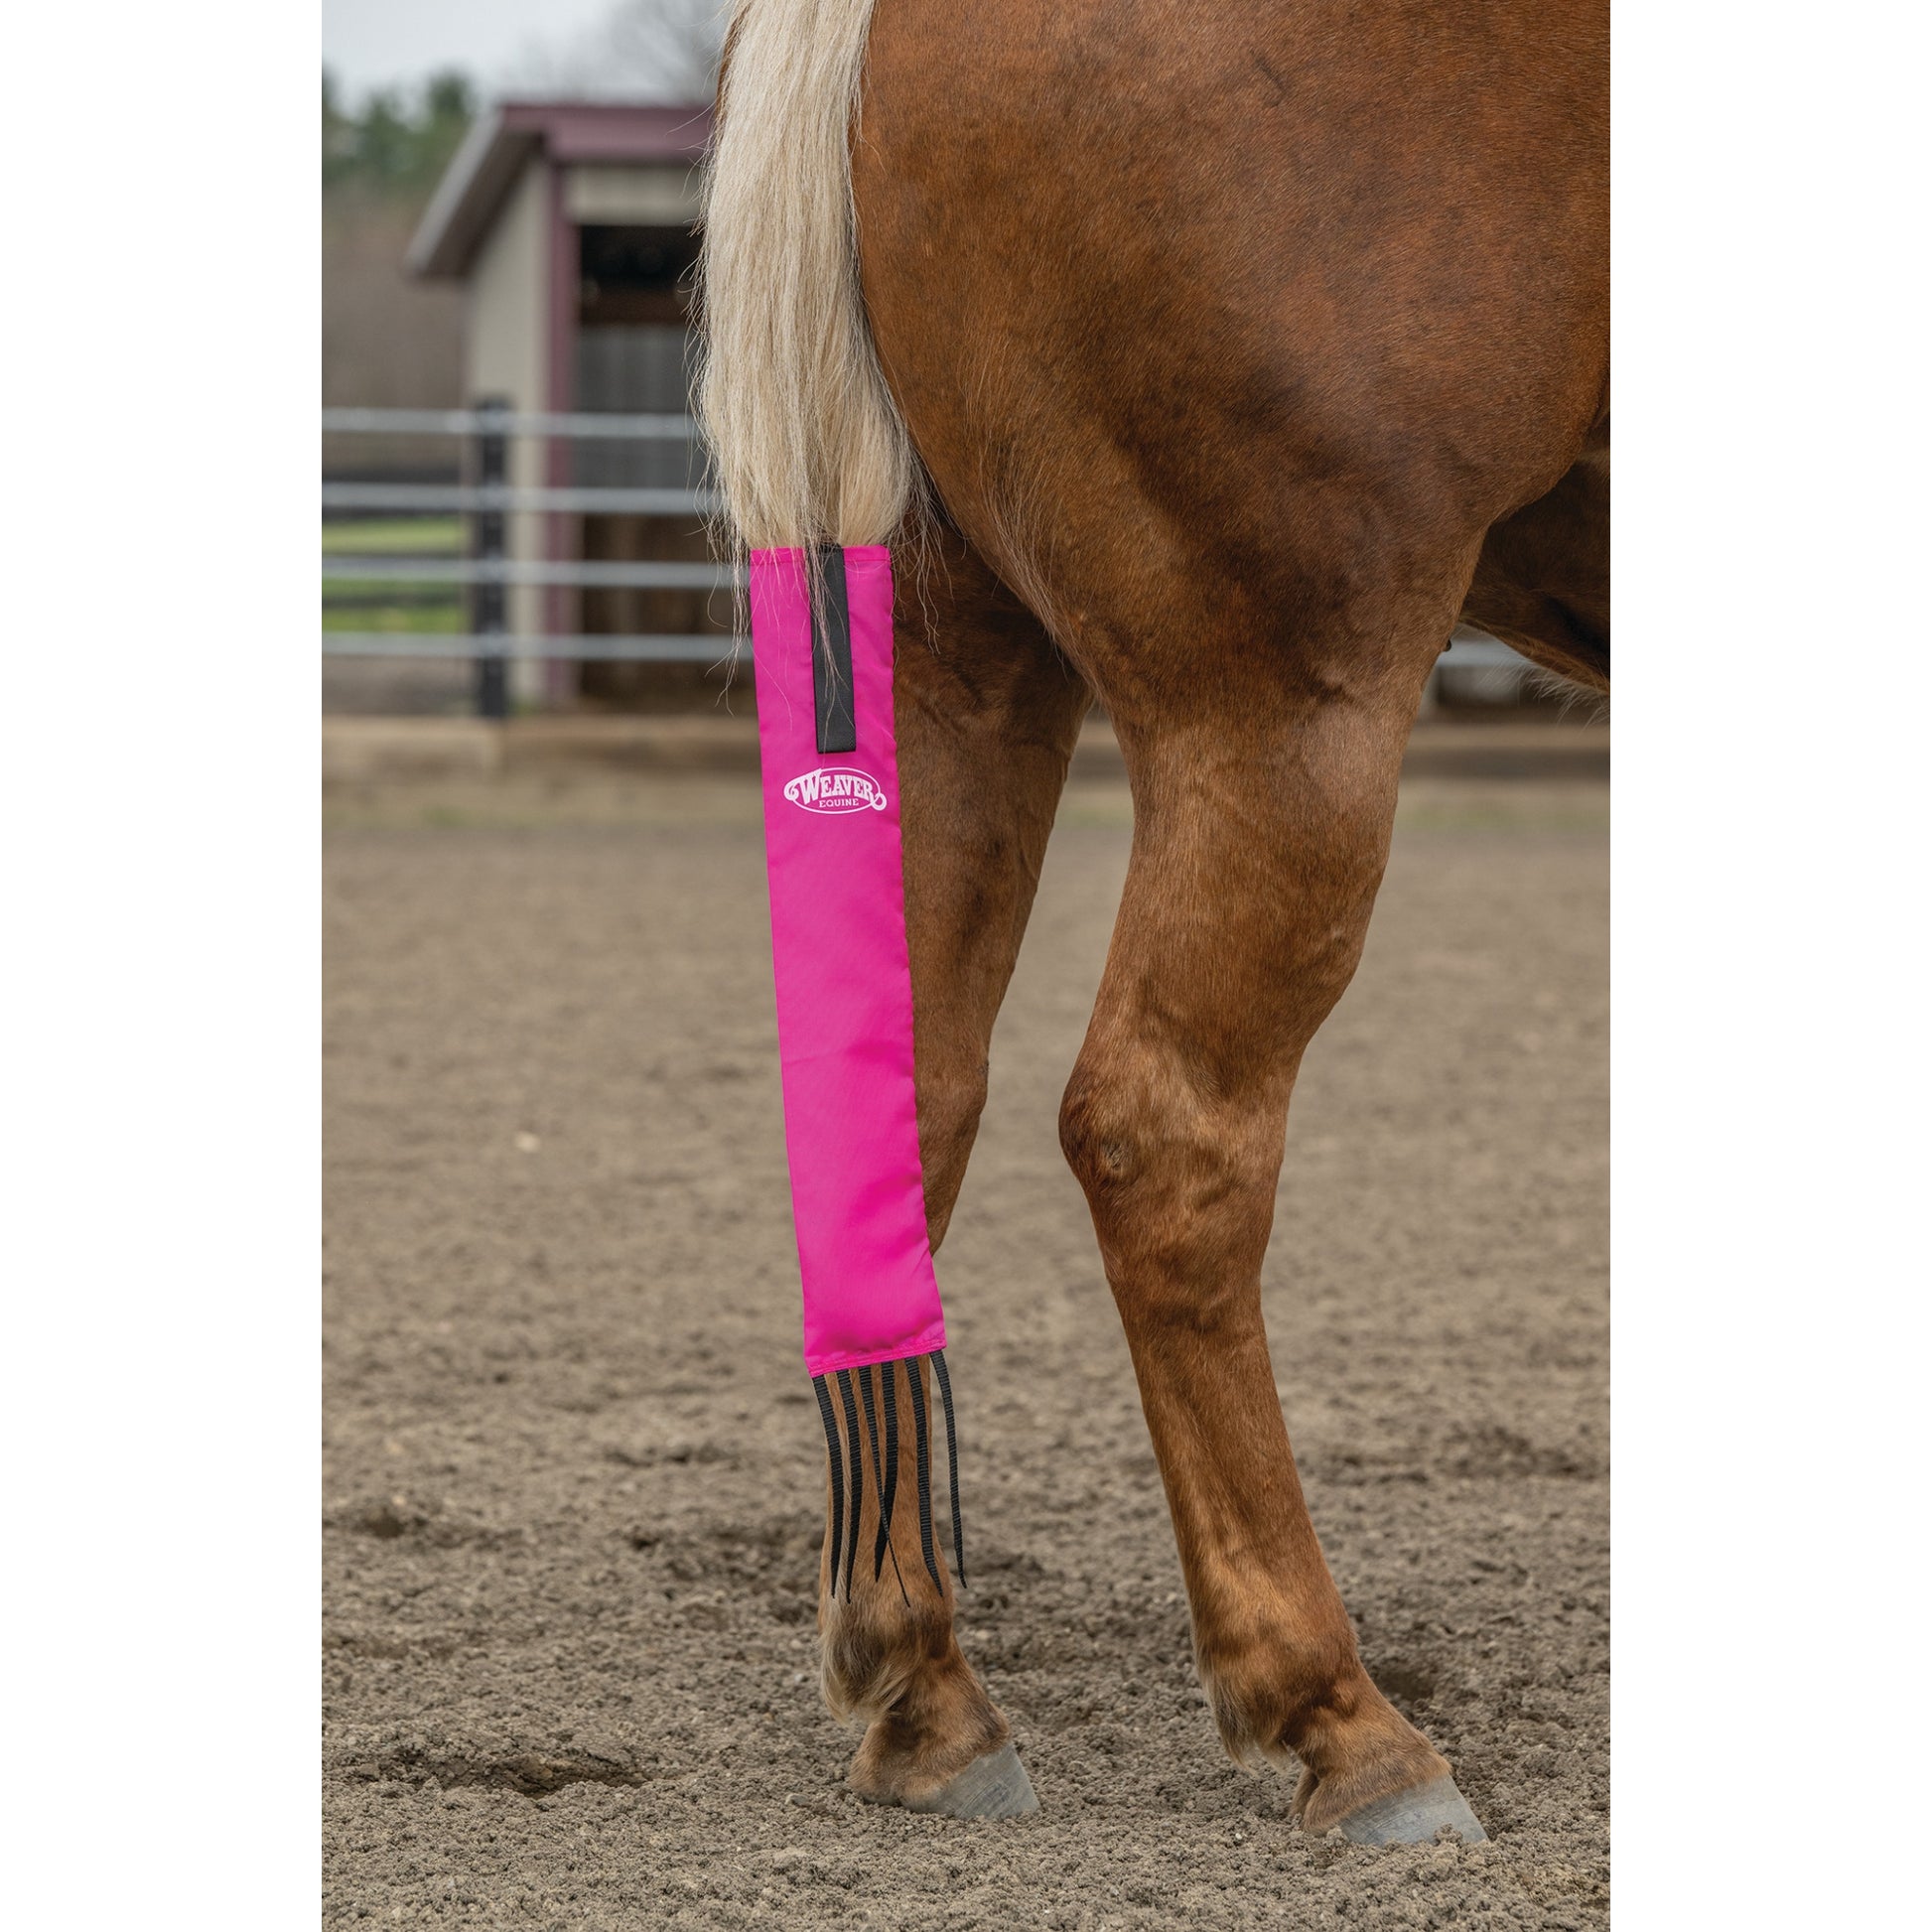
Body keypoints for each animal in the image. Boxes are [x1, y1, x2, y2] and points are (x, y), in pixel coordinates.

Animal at [697, 0, 1607, 1841]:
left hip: (953, 656)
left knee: (906, 1095)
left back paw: (925, 1687)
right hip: (1282, 703)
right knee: (1165, 1133)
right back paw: (1338, 1716)